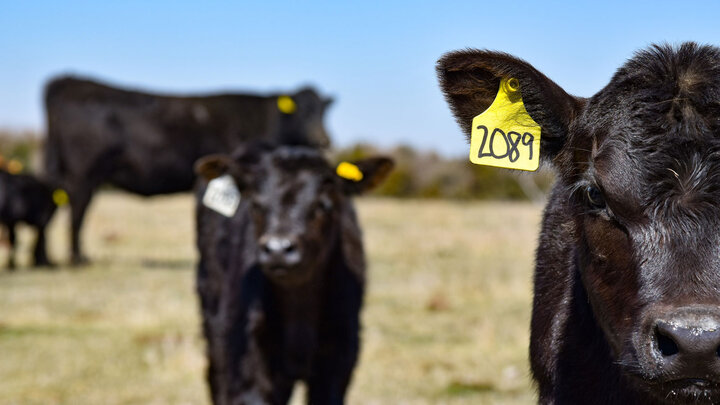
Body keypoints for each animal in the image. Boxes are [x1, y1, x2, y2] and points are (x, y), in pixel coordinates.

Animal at [43, 76, 333, 264]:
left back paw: (47, 259)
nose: (323, 140)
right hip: (83, 174)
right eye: (302, 112)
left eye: (323, 111)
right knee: (77, 212)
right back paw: (78, 259)